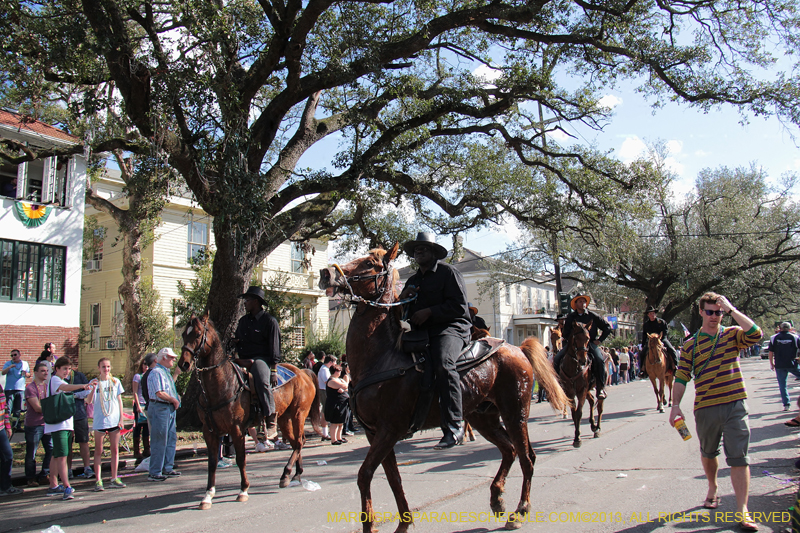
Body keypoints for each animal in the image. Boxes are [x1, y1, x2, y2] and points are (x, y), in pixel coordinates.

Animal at [178, 314, 322, 510]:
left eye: (199, 333)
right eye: (184, 334)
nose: (183, 363)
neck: (222, 384)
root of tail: (303, 372)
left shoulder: (236, 429)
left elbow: (240, 459)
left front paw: (243, 490)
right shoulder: (209, 431)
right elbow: (212, 462)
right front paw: (208, 495)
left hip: (298, 414)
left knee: (299, 442)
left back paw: (286, 474)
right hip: (284, 419)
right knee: (297, 443)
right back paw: (295, 474)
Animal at [318, 245, 568, 532]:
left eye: (370, 263)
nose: (326, 273)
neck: (383, 356)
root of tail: (517, 349)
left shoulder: (389, 430)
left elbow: (364, 475)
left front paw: (371, 525)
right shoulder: (375, 434)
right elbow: (393, 478)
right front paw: (403, 524)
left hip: (515, 414)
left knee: (527, 458)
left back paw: (520, 510)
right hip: (484, 417)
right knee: (510, 451)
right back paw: (497, 498)